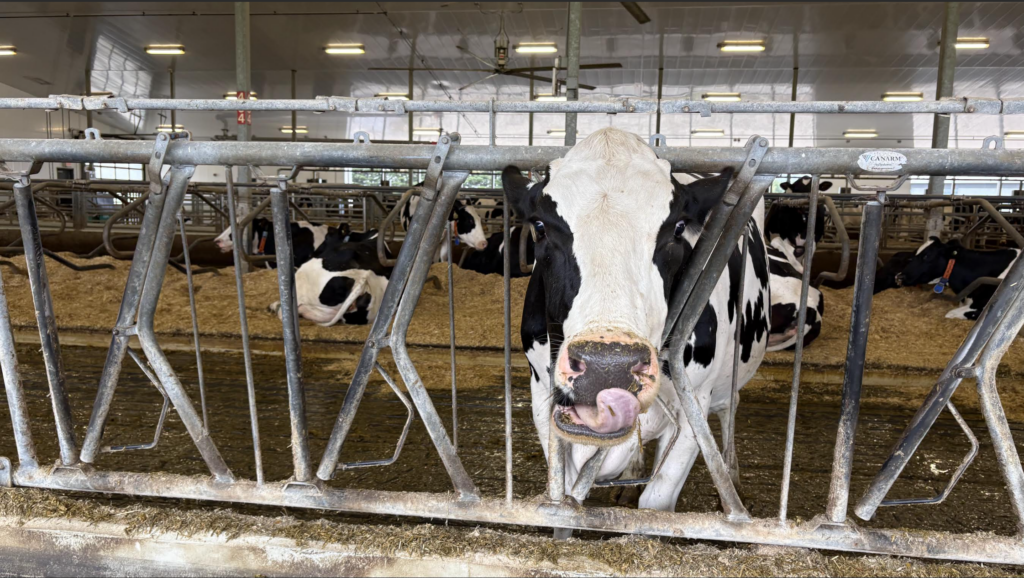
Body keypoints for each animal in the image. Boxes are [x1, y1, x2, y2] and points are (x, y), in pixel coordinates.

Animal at [503, 128, 770, 511]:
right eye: (540, 226)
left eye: (678, 228)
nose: (607, 368)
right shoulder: (542, 390)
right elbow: (563, 489)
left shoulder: (696, 400)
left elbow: (656, 500)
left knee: (729, 406)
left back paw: (730, 481)